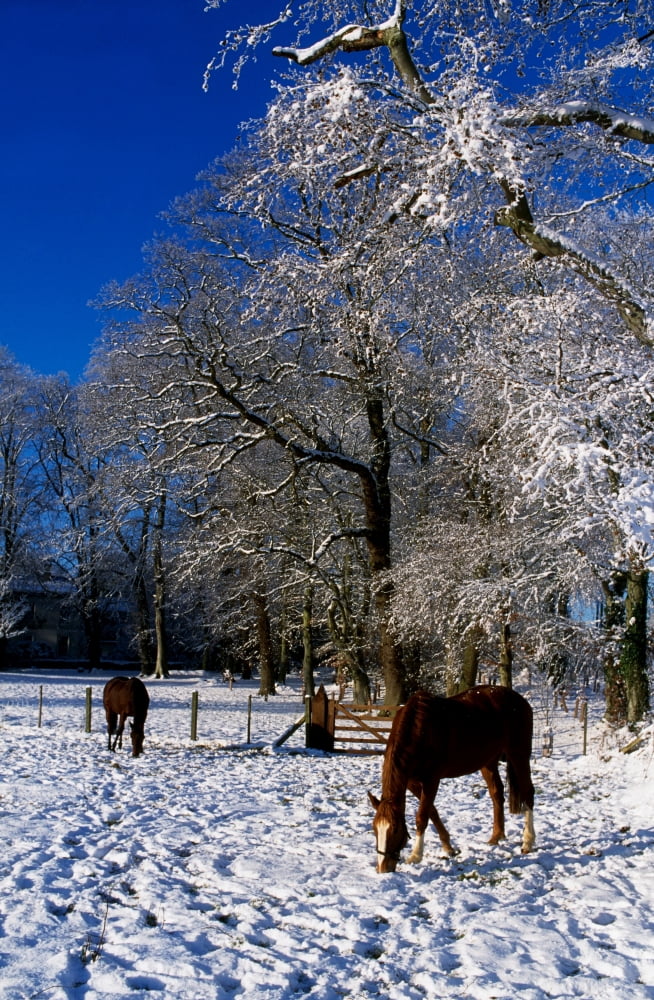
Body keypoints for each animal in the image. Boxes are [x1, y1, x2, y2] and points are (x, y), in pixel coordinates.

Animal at [368, 685, 535, 873]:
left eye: (395, 829)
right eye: (374, 829)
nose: (383, 868)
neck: (419, 729)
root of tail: (519, 699)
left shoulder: (431, 780)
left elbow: (422, 816)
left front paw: (416, 856)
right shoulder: (412, 782)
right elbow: (432, 811)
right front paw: (448, 847)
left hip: (518, 754)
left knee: (528, 792)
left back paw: (527, 842)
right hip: (488, 761)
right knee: (497, 793)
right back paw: (496, 836)